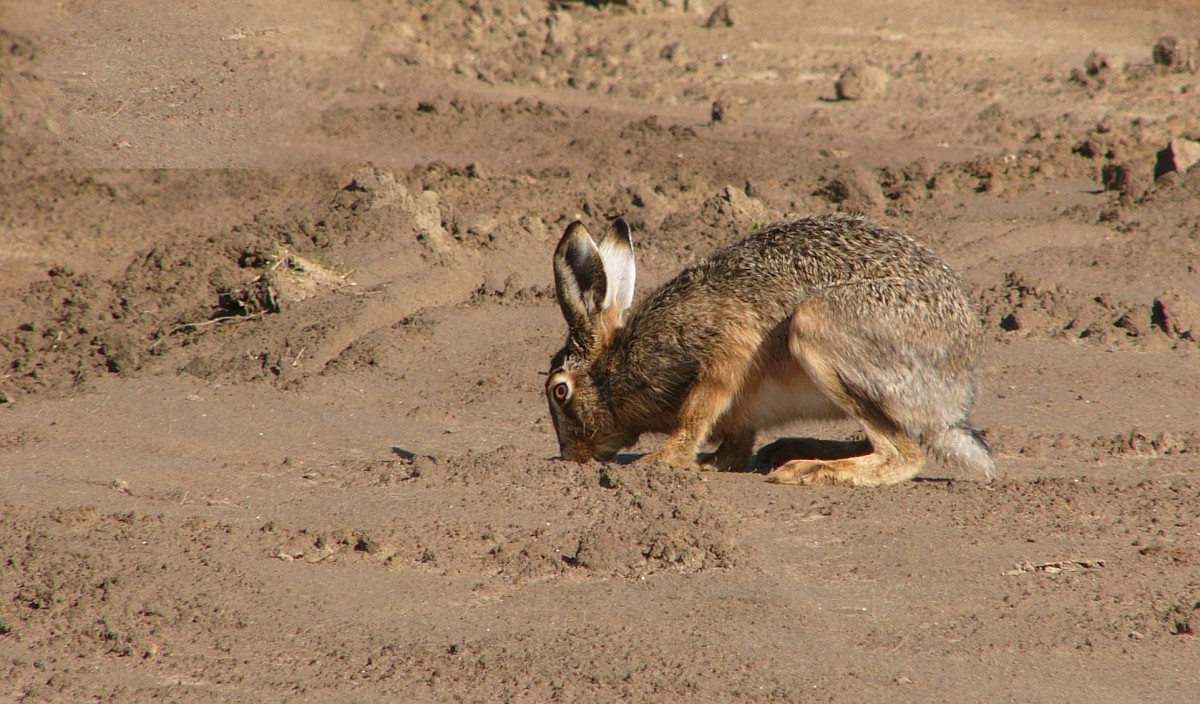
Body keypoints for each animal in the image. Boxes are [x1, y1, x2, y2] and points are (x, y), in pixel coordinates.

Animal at [545, 213, 994, 487]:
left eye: (559, 390)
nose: (570, 455)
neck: (623, 363)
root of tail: (955, 395)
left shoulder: (728, 346)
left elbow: (697, 412)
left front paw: (660, 462)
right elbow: (734, 446)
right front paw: (709, 462)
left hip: (815, 326)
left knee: (905, 453)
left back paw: (806, 470)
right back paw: (792, 450)